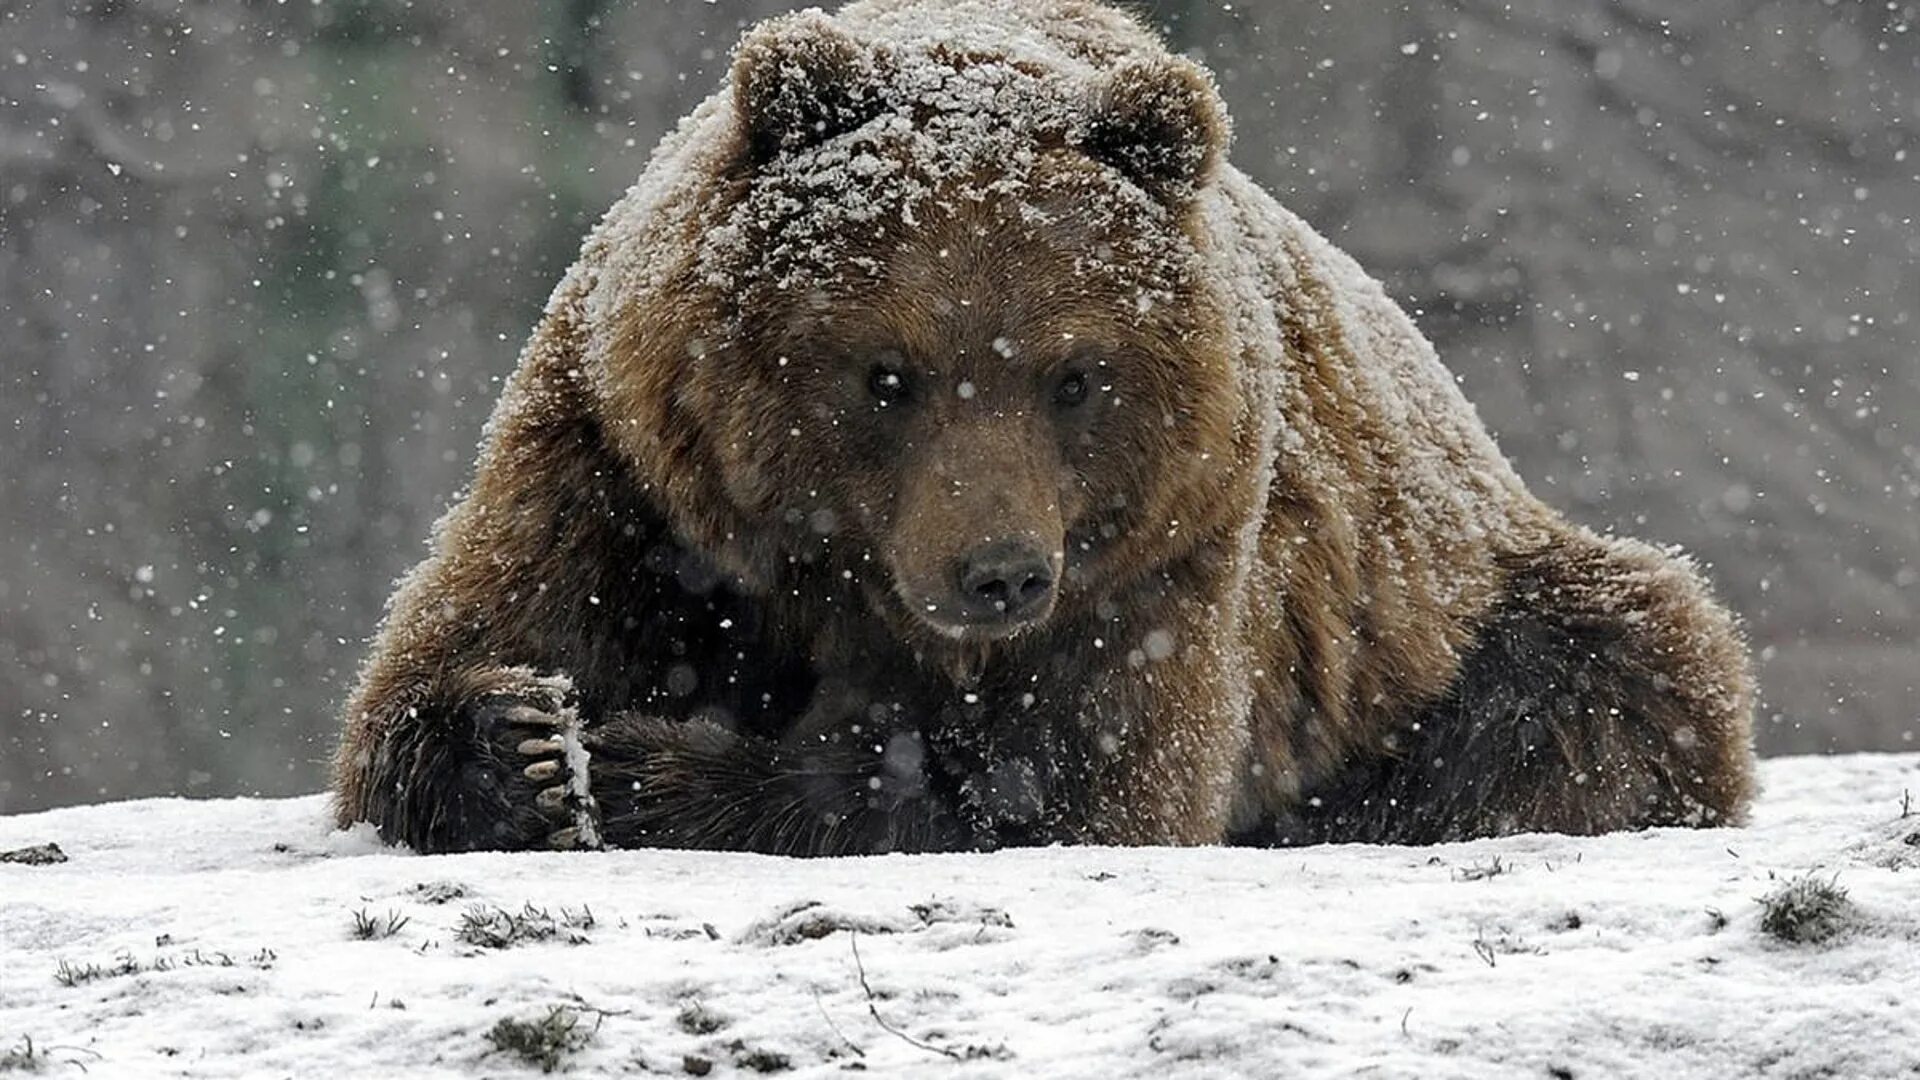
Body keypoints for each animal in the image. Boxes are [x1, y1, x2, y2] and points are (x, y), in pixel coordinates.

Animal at [334, 2, 1758, 857]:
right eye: (887, 373)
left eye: (1077, 376)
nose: (1000, 573)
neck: (840, 579)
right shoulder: (625, 468)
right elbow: (453, 656)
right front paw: (529, 744)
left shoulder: (1173, 546)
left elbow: (1067, 782)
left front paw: (651, 770)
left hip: (1444, 620)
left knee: (1616, 666)